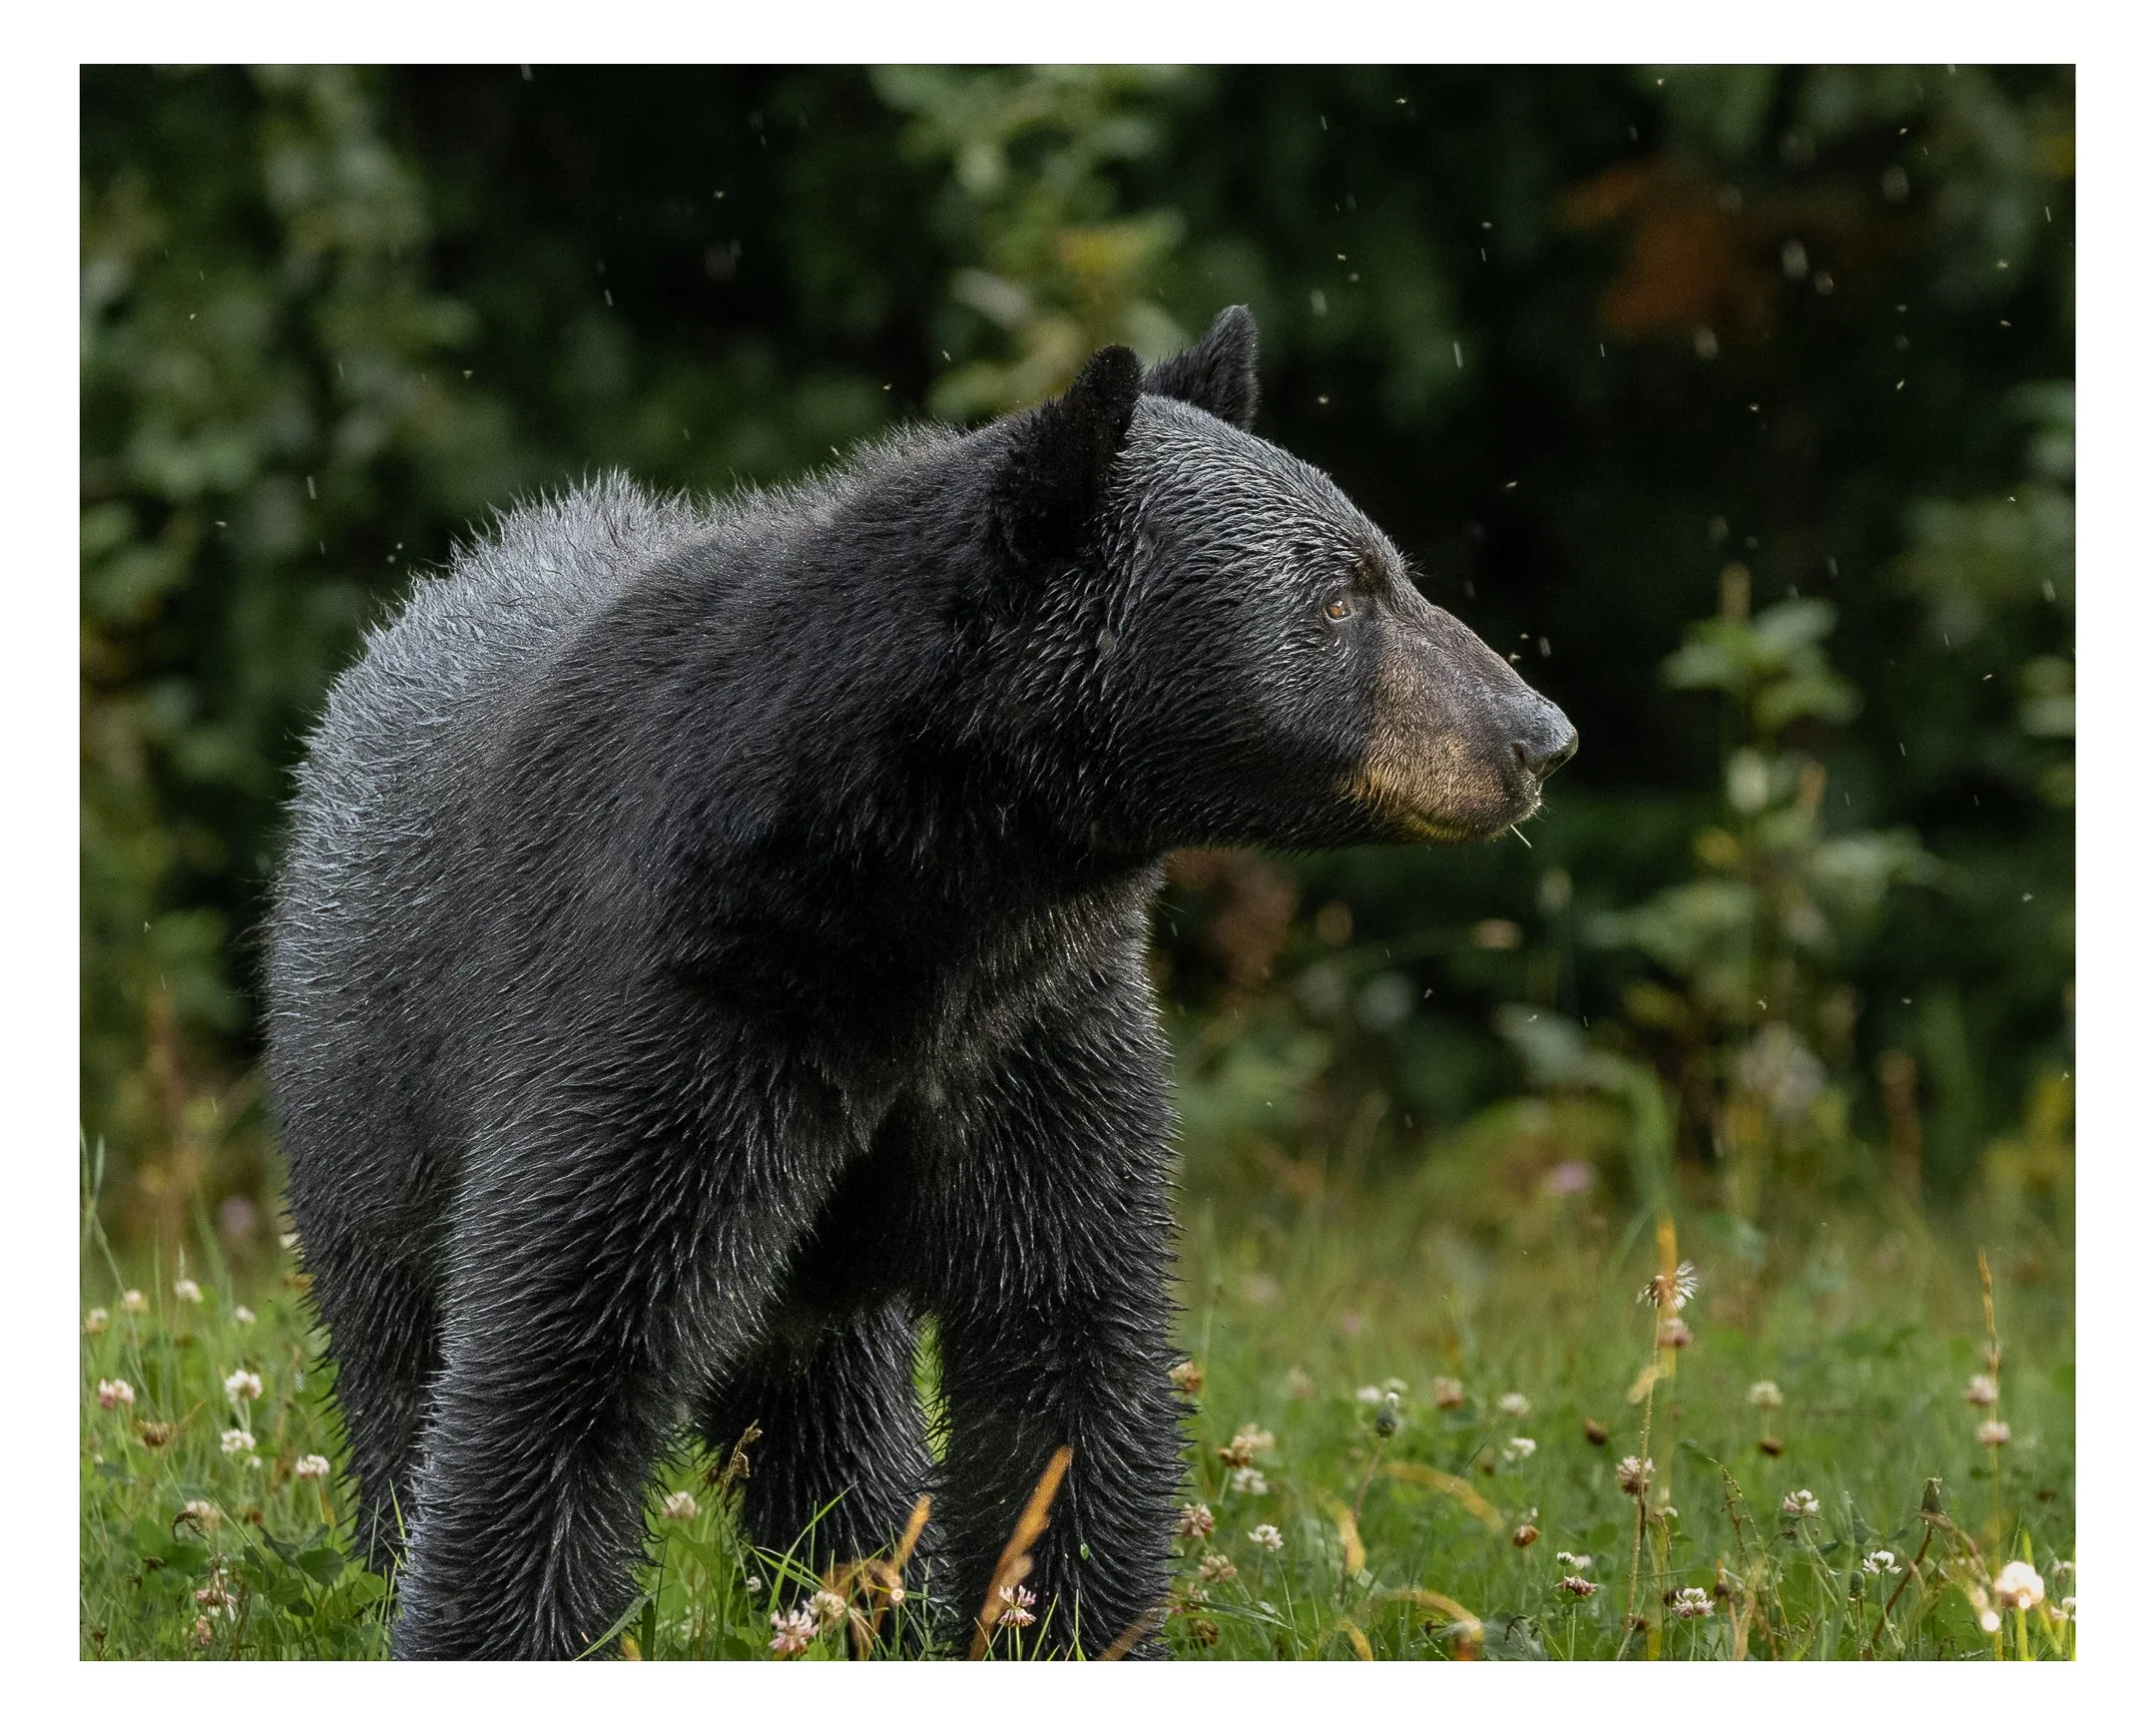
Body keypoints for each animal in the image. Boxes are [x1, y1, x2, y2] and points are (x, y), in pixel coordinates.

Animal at [263, 306, 1575, 1661]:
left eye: (1389, 568)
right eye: (1337, 599)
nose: (1540, 736)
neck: (921, 909)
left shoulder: (1039, 1031)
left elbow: (1069, 1343)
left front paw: (1067, 1624)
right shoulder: (665, 1003)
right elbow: (564, 1344)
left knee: (836, 1419)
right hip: (364, 1098)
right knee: (398, 1359)